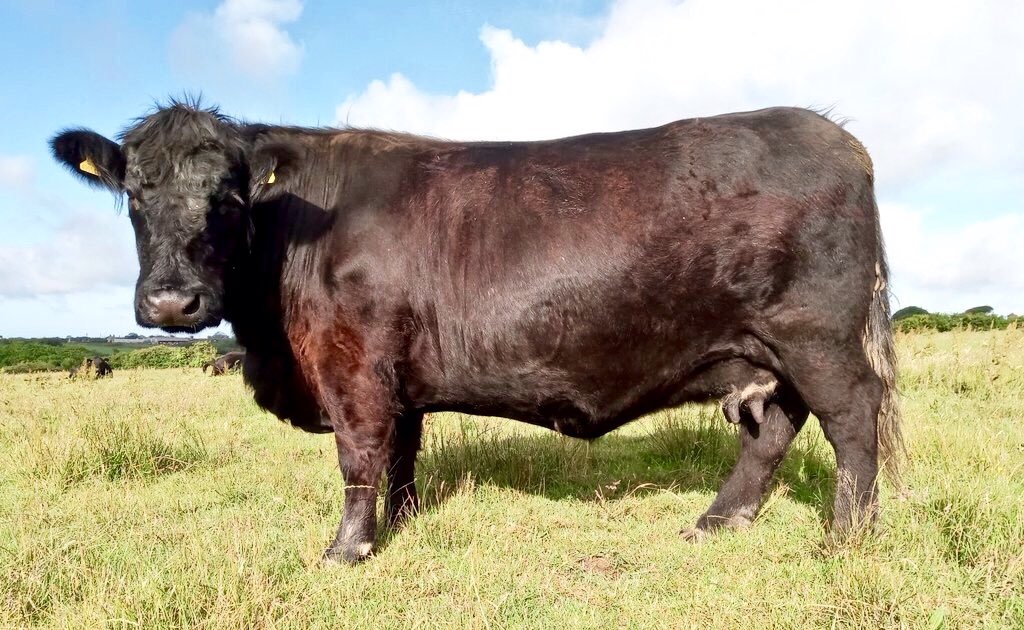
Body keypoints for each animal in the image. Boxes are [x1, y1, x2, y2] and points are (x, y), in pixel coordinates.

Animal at [51, 100, 903, 563]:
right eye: (134, 194)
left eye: (227, 197)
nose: (173, 303)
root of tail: (840, 138)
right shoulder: (397, 378)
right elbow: (400, 456)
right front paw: (400, 525)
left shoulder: (352, 364)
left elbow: (359, 458)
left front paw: (346, 550)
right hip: (766, 352)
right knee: (772, 430)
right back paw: (717, 522)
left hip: (816, 337)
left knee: (850, 421)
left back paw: (845, 537)